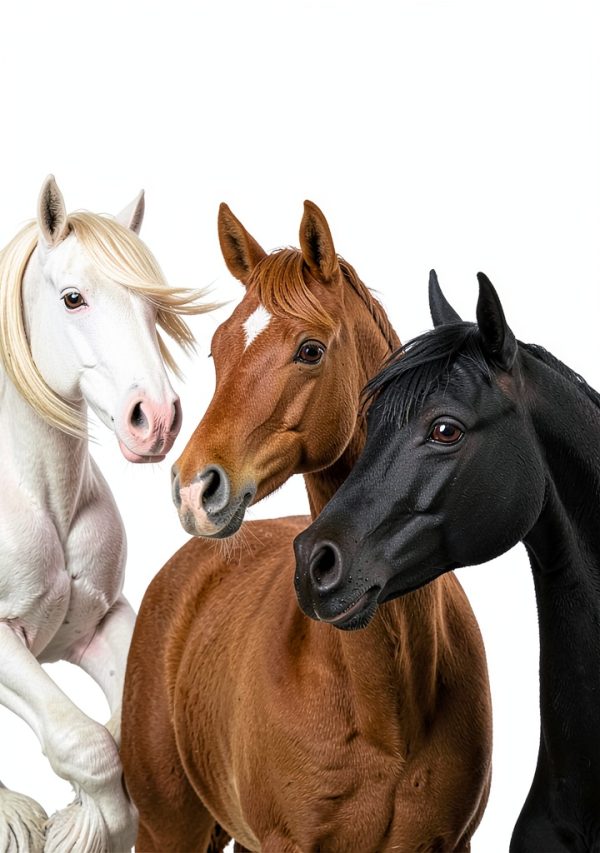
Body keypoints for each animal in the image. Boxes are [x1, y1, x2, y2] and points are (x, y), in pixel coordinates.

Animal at [0, 176, 212, 853]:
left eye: (152, 308)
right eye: (73, 299)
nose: (157, 419)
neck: (43, 498)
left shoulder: (101, 622)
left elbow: (127, 730)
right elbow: (87, 745)